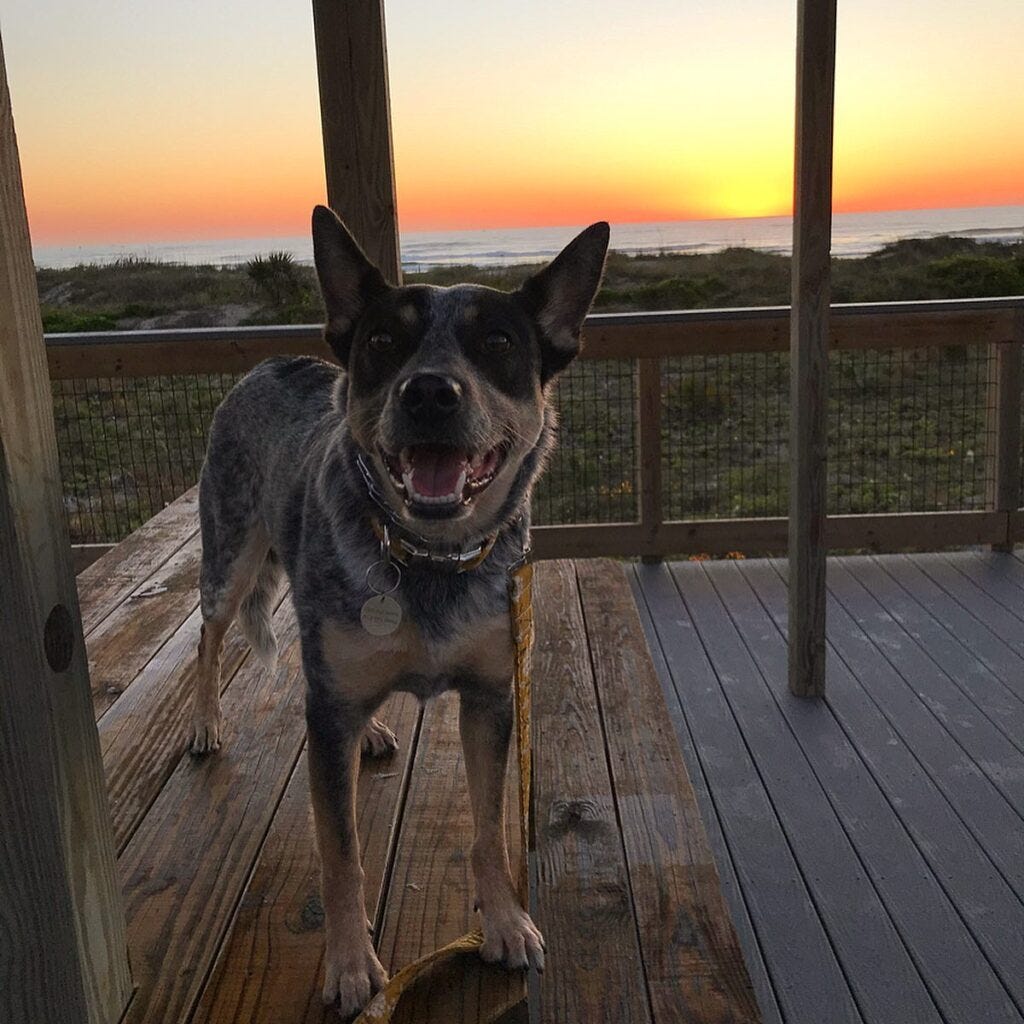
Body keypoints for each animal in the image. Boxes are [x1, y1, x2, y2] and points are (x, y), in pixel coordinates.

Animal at [190, 205, 606, 1015]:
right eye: (384, 341)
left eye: (498, 343)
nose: (430, 393)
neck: (428, 560)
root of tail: (267, 364)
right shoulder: (328, 716)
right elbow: (340, 854)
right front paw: (351, 963)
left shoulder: (490, 696)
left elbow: (487, 830)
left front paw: (504, 923)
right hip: (231, 555)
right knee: (209, 634)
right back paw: (204, 720)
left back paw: (376, 730)